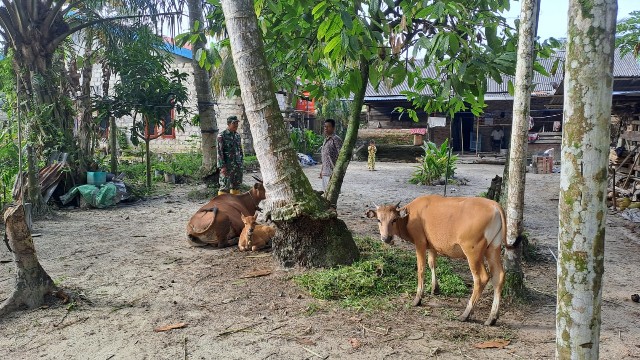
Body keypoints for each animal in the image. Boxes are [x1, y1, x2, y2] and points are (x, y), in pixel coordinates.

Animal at [368, 195, 508, 324]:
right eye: (379, 219)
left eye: (394, 219)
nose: (386, 238)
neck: (410, 216)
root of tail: (495, 206)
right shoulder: (432, 246)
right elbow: (432, 263)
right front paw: (435, 288)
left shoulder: (420, 242)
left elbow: (421, 268)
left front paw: (418, 298)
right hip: (493, 247)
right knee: (499, 276)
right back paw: (492, 317)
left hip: (473, 251)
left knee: (481, 278)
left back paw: (466, 314)